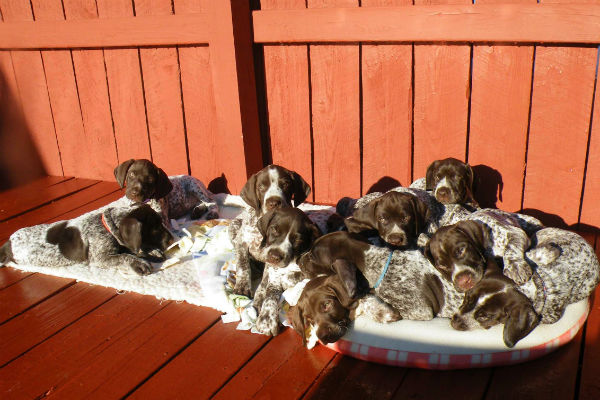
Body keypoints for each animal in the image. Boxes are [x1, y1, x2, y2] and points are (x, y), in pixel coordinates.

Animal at [0, 203, 173, 276]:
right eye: (156, 228)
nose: (172, 240)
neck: (105, 226)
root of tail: (9, 242)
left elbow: (131, 249)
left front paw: (152, 252)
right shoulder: (101, 257)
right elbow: (125, 256)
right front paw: (139, 263)